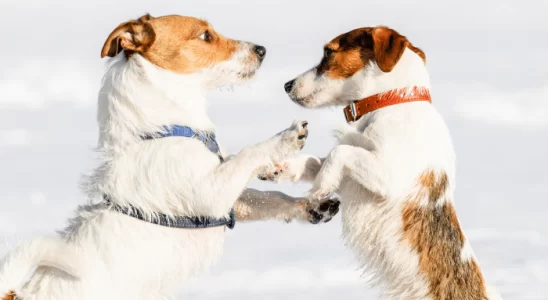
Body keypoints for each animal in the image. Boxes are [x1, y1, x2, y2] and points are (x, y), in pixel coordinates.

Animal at [264, 26, 504, 300]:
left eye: (329, 52)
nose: (287, 85)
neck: (391, 101)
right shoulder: (352, 176)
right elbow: (315, 162)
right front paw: (280, 167)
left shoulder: (386, 177)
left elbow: (340, 153)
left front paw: (320, 188)